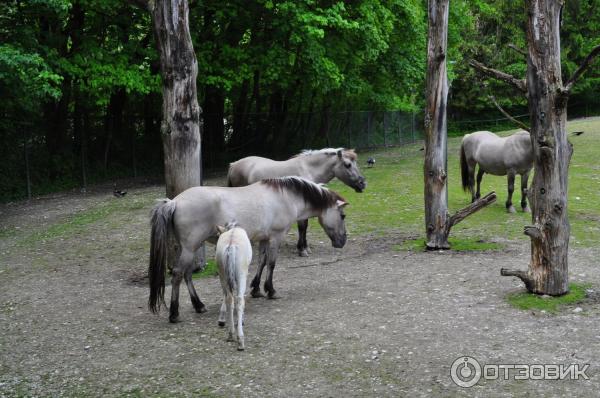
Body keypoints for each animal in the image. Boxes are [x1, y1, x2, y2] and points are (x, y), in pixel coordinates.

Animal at [147, 176, 350, 322]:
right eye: (343, 215)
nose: (342, 241)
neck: (286, 197)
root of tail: (174, 202)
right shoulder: (276, 237)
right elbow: (272, 264)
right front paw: (271, 290)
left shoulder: (264, 239)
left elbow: (262, 262)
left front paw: (256, 289)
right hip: (190, 248)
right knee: (178, 275)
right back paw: (174, 314)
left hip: (192, 248)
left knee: (187, 274)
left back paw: (199, 305)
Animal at [214, 222, 252, 350]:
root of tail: (231, 246)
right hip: (241, 274)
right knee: (239, 300)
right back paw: (240, 340)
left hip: (223, 273)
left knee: (229, 298)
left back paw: (231, 334)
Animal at [226, 148, 364, 256]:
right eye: (347, 164)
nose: (362, 184)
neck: (308, 169)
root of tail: (233, 164)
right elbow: (302, 227)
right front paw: (302, 249)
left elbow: (305, 227)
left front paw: (305, 247)